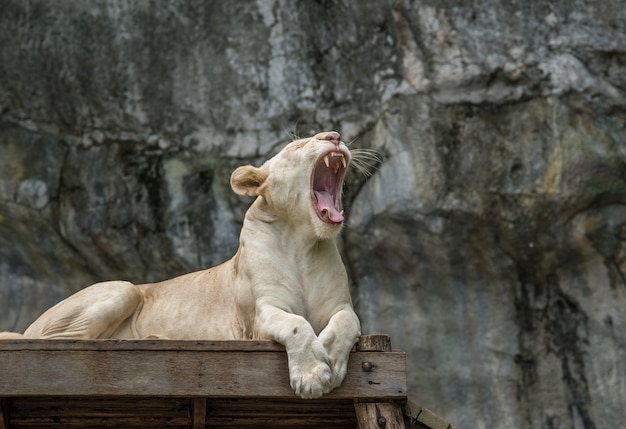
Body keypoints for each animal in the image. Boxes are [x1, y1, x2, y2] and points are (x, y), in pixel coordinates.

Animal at [0, 130, 360, 398]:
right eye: (298, 145)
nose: (335, 135)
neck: (302, 241)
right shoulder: (260, 315)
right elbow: (296, 323)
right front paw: (312, 376)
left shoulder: (340, 305)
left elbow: (347, 322)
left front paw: (330, 356)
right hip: (122, 290)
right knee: (58, 342)